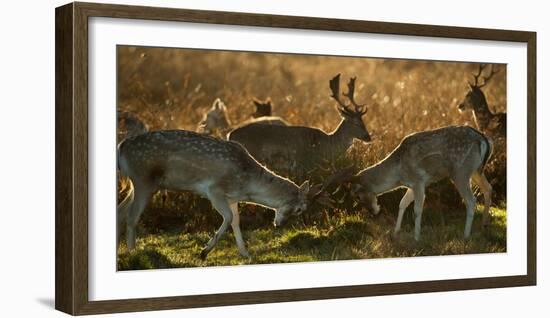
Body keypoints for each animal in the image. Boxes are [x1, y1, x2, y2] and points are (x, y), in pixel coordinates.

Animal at [117, 129, 332, 258]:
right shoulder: (214, 190)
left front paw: (245, 253)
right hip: (143, 179)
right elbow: (228, 218)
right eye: (299, 209)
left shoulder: (232, 197)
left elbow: (236, 220)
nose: (279, 224)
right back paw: (133, 252)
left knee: (121, 210)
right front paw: (204, 251)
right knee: (132, 216)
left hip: (137, 183)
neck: (246, 186)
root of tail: (121, 147)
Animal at [226, 73, 374, 175]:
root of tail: (230, 135)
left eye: (363, 121)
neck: (325, 145)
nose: (368, 137)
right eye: (355, 122)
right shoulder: (304, 163)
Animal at [340, 125, 496, 240]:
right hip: (476, 170)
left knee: (471, 200)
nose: (373, 212)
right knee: (488, 188)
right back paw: (484, 225)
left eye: (357, 196)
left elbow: (417, 209)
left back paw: (466, 235)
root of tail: (484, 140)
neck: (398, 174)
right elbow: (402, 203)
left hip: (460, 172)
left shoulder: (418, 181)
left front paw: (416, 238)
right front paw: (396, 232)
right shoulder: (413, 184)